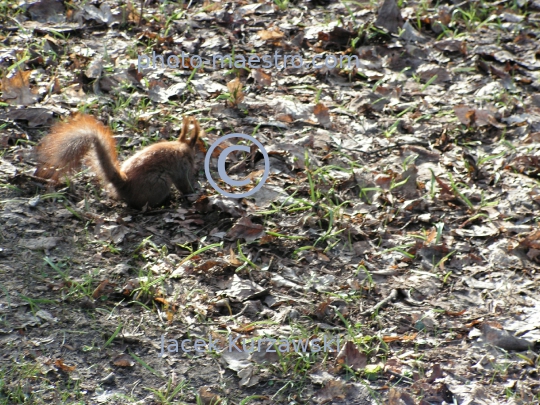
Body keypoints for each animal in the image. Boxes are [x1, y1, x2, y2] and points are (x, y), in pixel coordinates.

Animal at [34, 113, 202, 208]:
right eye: (193, 157)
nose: (196, 165)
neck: (179, 147)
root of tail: (124, 185)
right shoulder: (182, 167)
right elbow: (184, 183)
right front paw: (193, 192)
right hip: (160, 182)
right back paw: (166, 202)